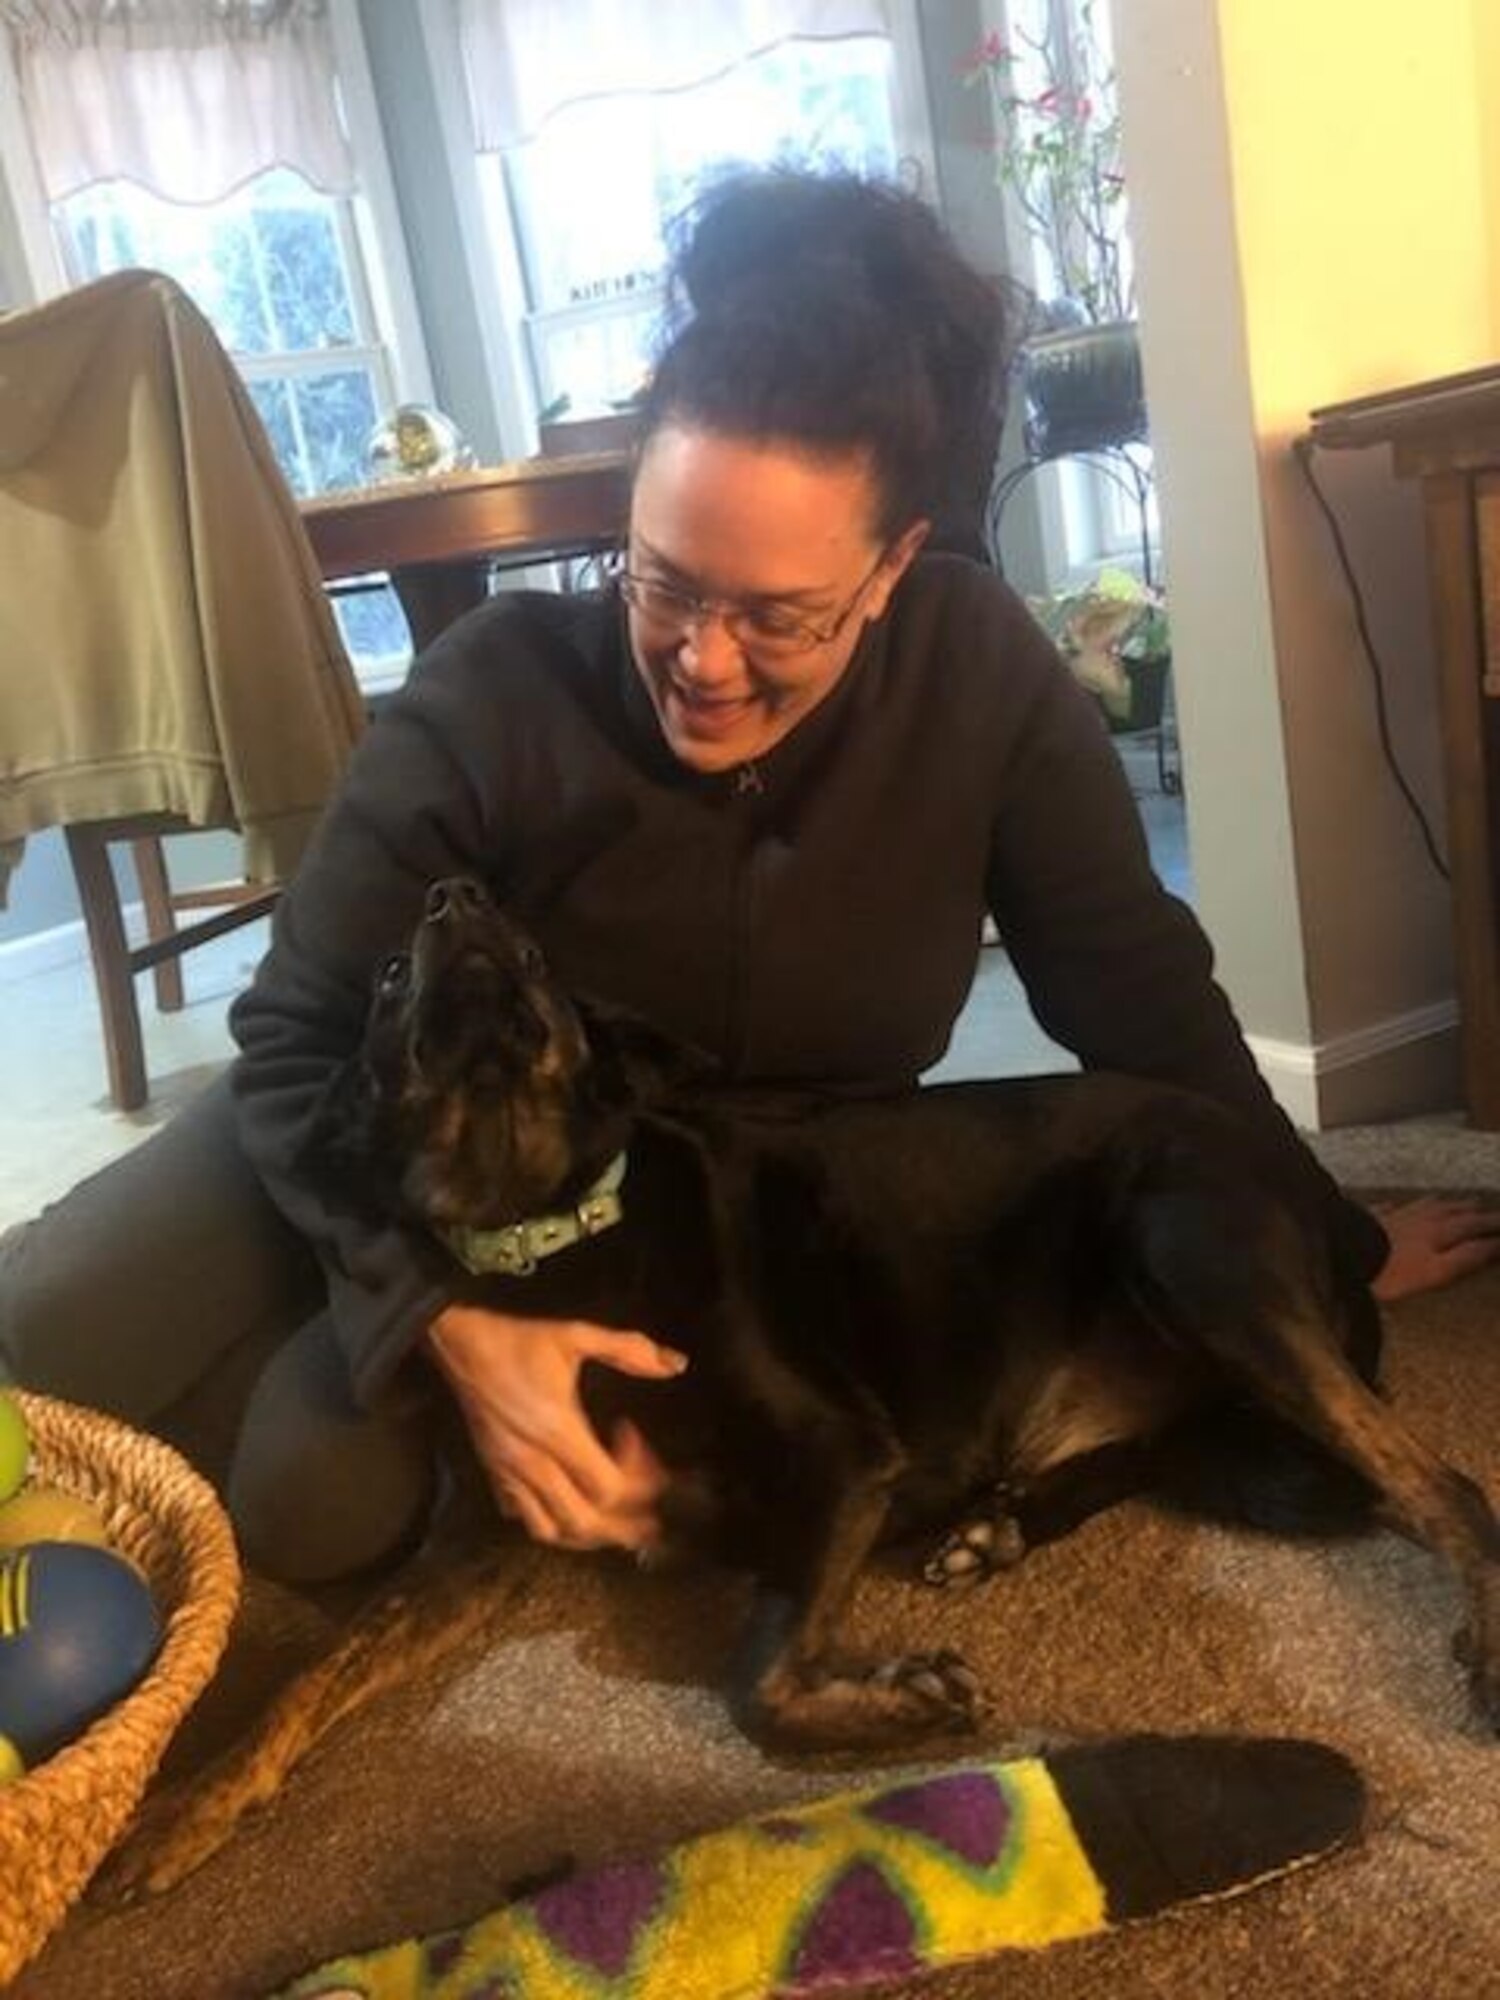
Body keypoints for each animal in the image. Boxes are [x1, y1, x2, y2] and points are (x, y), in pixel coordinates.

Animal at [324, 876, 1496, 1752]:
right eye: (387, 975)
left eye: (535, 955)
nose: (457, 895)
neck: (545, 1224)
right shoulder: (469, 1546)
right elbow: (303, 1691)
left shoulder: (840, 1456)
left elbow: (757, 1685)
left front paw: (903, 1699)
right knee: (1173, 1448)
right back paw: (998, 1526)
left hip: (1191, 1254)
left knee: (1443, 1483)